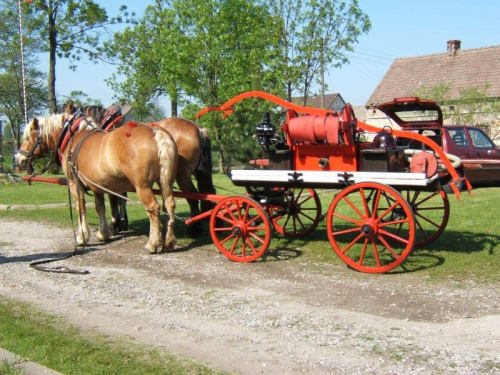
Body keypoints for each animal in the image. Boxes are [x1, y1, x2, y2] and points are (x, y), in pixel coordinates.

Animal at [15, 114, 179, 254]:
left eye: (28, 137)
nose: (18, 158)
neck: (73, 139)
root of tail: (156, 131)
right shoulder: (97, 185)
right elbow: (100, 207)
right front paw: (103, 234)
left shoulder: (75, 184)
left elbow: (80, 208)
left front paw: (82, 237)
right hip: (165, 181)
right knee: (169, 205)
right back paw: (169, 241)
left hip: (142, 186)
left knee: (153, 208)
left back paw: (152, 243)